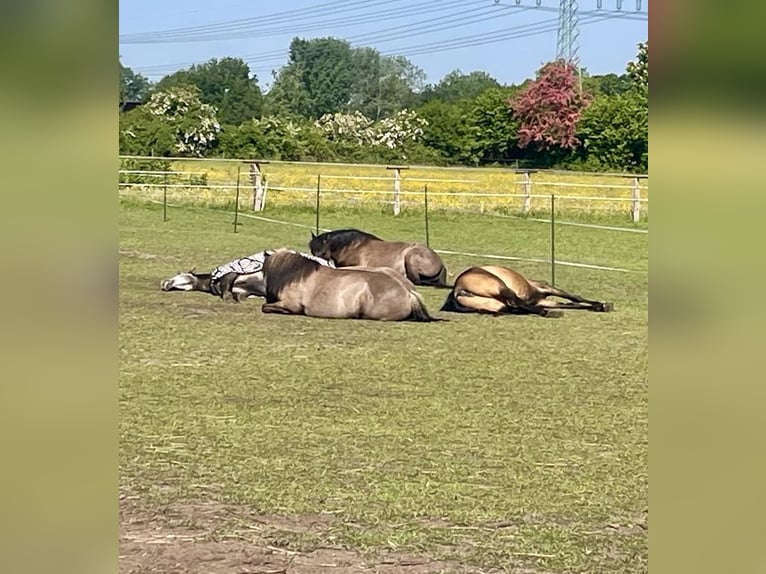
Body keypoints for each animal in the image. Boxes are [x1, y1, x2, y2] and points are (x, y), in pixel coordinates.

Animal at [440, 265, 614, 318]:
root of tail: (457, 289)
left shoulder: (543, 299)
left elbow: (568, 303)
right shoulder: (545, 287)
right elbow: (575, 298)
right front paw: (602, 305)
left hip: (498, 304)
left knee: (514, 306)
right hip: (501, 287)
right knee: (515, 301)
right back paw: (548, 313)